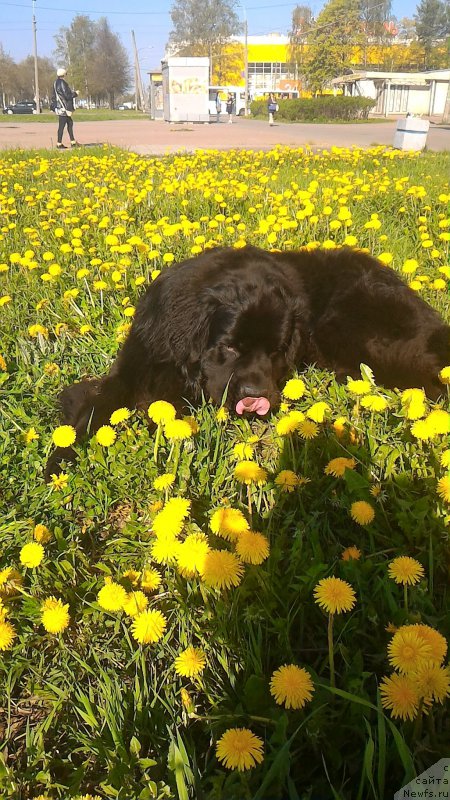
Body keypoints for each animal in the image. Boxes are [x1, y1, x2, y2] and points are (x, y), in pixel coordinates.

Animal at [44, 247, 446, 478]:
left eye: (276, 349)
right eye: (230, 347)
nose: (255, 395)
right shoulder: (137, 359)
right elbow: (96, 406)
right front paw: (59, 462)